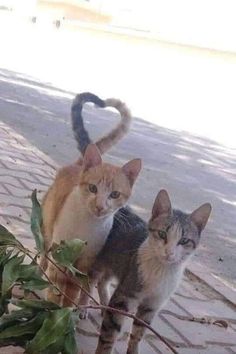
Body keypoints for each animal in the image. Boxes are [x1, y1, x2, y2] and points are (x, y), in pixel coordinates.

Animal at [41, 94, 141, 306]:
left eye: (114, 194)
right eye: (93, 188)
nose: (100, 206)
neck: (86, 226)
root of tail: (80, 165)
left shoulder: (85, 262)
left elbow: (72, 291)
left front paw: (67, 309)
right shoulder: (60, 255)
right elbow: (56, 286)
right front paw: (51, 307)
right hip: (47, 231)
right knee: (43, 257)